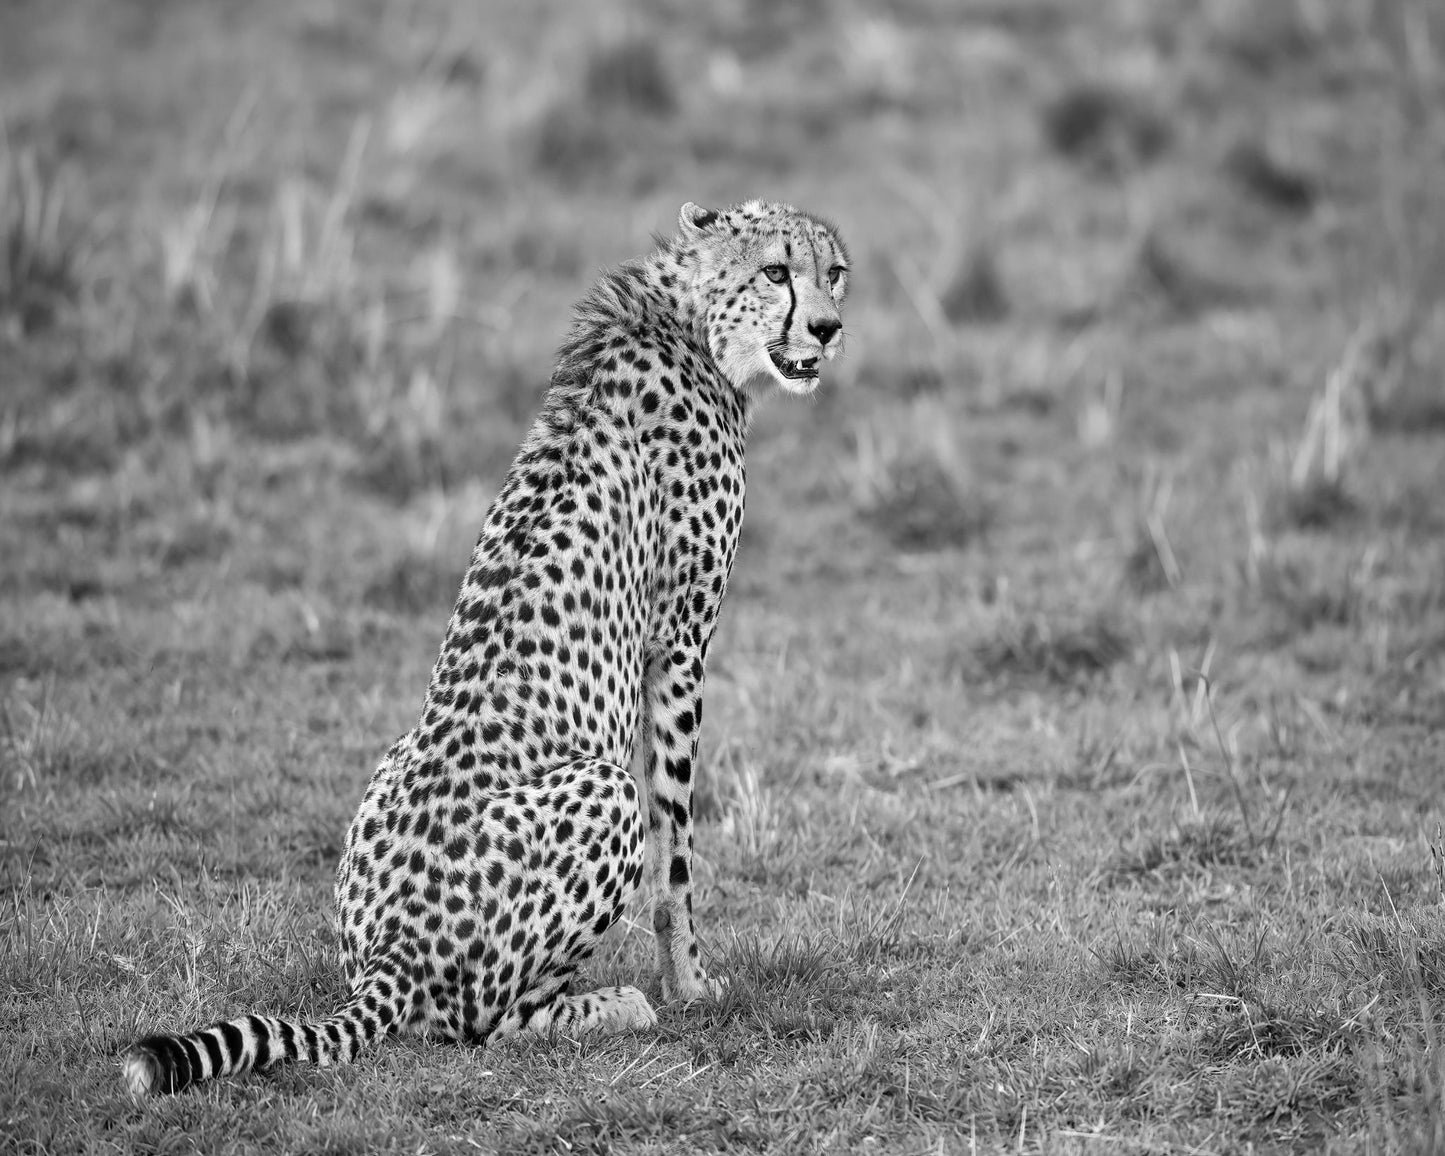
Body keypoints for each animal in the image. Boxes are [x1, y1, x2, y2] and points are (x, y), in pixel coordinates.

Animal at [122, 198, 849, 1095]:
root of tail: (389, 956)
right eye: (775, 272)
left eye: (833, 272)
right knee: (486, 1022)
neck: (688, 319)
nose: (827, 327)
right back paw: (613, 1006)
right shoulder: (678, 645)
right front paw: (690, 984)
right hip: (600, 790)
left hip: (391, 770)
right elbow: (676, 850)